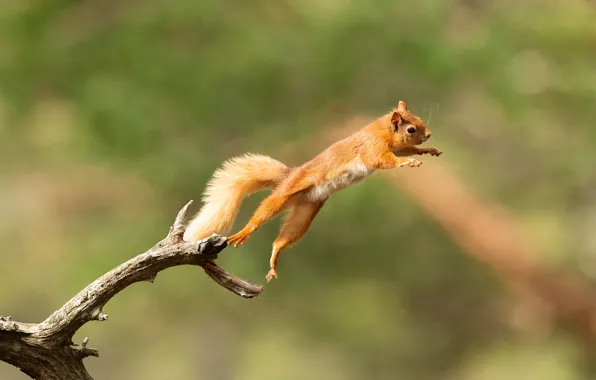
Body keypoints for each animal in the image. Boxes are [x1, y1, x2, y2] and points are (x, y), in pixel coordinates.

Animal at [185, 101, 442, 282]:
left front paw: (427, 150)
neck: (381, 130)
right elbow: (384, 160)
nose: (429, 135)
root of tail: (289, 176)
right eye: (411, 128)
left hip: (304, 214)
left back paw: (274, 260)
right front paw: (408, 162)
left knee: (282, 239)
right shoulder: (372, 148)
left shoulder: (392, 147)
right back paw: (245, 232)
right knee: (261, 214)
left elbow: (402, 151)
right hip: (283, 196)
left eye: (419, 119)